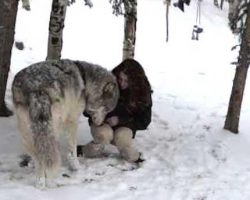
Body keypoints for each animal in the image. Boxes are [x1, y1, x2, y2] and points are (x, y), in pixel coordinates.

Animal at [12, 59, 119, 188]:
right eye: (107, 109)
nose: (100, 123)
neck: (85, 79)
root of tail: (35, 87)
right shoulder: (72, 120)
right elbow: (72, 150)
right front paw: (76, 167)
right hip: (53, 125)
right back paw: (50, 181)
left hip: (27, 132)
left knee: (40, 156)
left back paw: (40, 182)